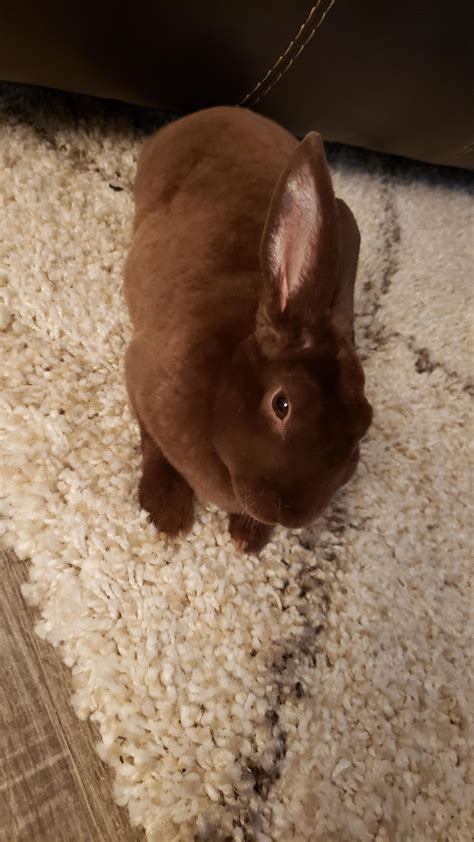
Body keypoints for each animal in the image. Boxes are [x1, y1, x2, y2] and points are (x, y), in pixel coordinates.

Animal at [124, 106, 372, 553]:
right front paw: (166, 515)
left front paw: (247, 537)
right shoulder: (140, 377)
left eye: (364, 426)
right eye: (281, 404)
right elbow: (154, 447)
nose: (291, 514)